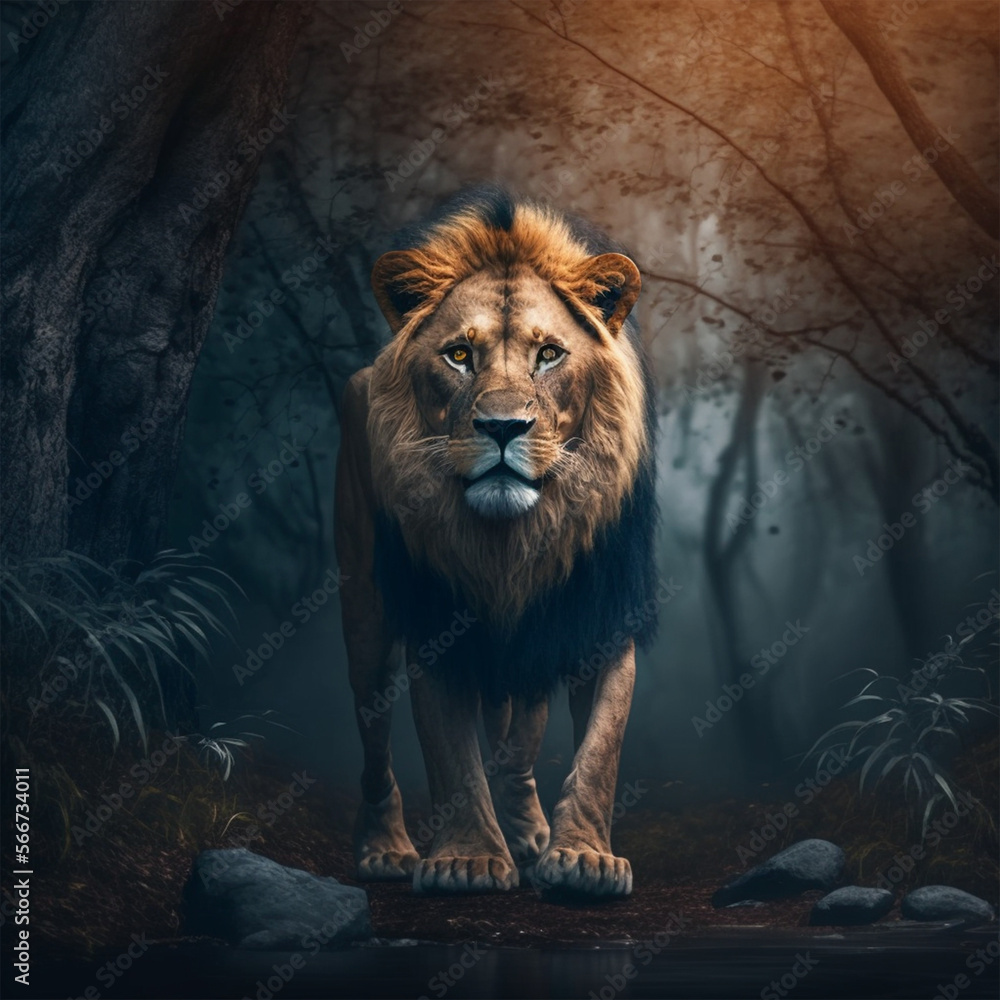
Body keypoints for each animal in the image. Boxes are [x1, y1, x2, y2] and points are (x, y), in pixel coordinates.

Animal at [334, 186, 658, 899]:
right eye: (459, 355)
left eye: (549, 354)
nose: (503, 426)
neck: (511, 543)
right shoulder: (435, 621)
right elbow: (451, 756)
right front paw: (468, 860)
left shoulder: (601, 612)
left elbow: (601, 750)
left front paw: (585, 858)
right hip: (364, 615)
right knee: (372, 745)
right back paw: (385, 847)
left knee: (519, 734)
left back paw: (530, 829)